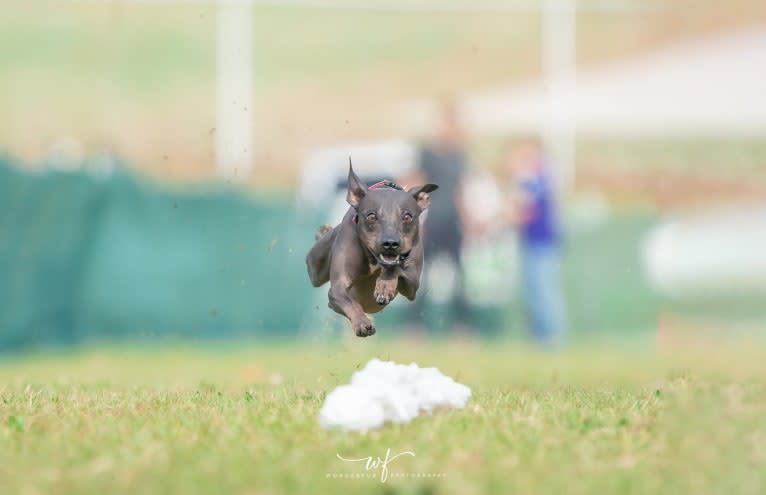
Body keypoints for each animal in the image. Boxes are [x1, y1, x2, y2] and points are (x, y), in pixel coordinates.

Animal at [306, 163, 438, 338]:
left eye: (407, 216)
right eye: (371, 216)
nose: (390, 243)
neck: (375, 259)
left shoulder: (413, 285)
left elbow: (397, 269)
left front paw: (385, 285)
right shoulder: (338, 288)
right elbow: (349, 302)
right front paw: (361, 323)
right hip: (315, 267)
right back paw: (324, 231)